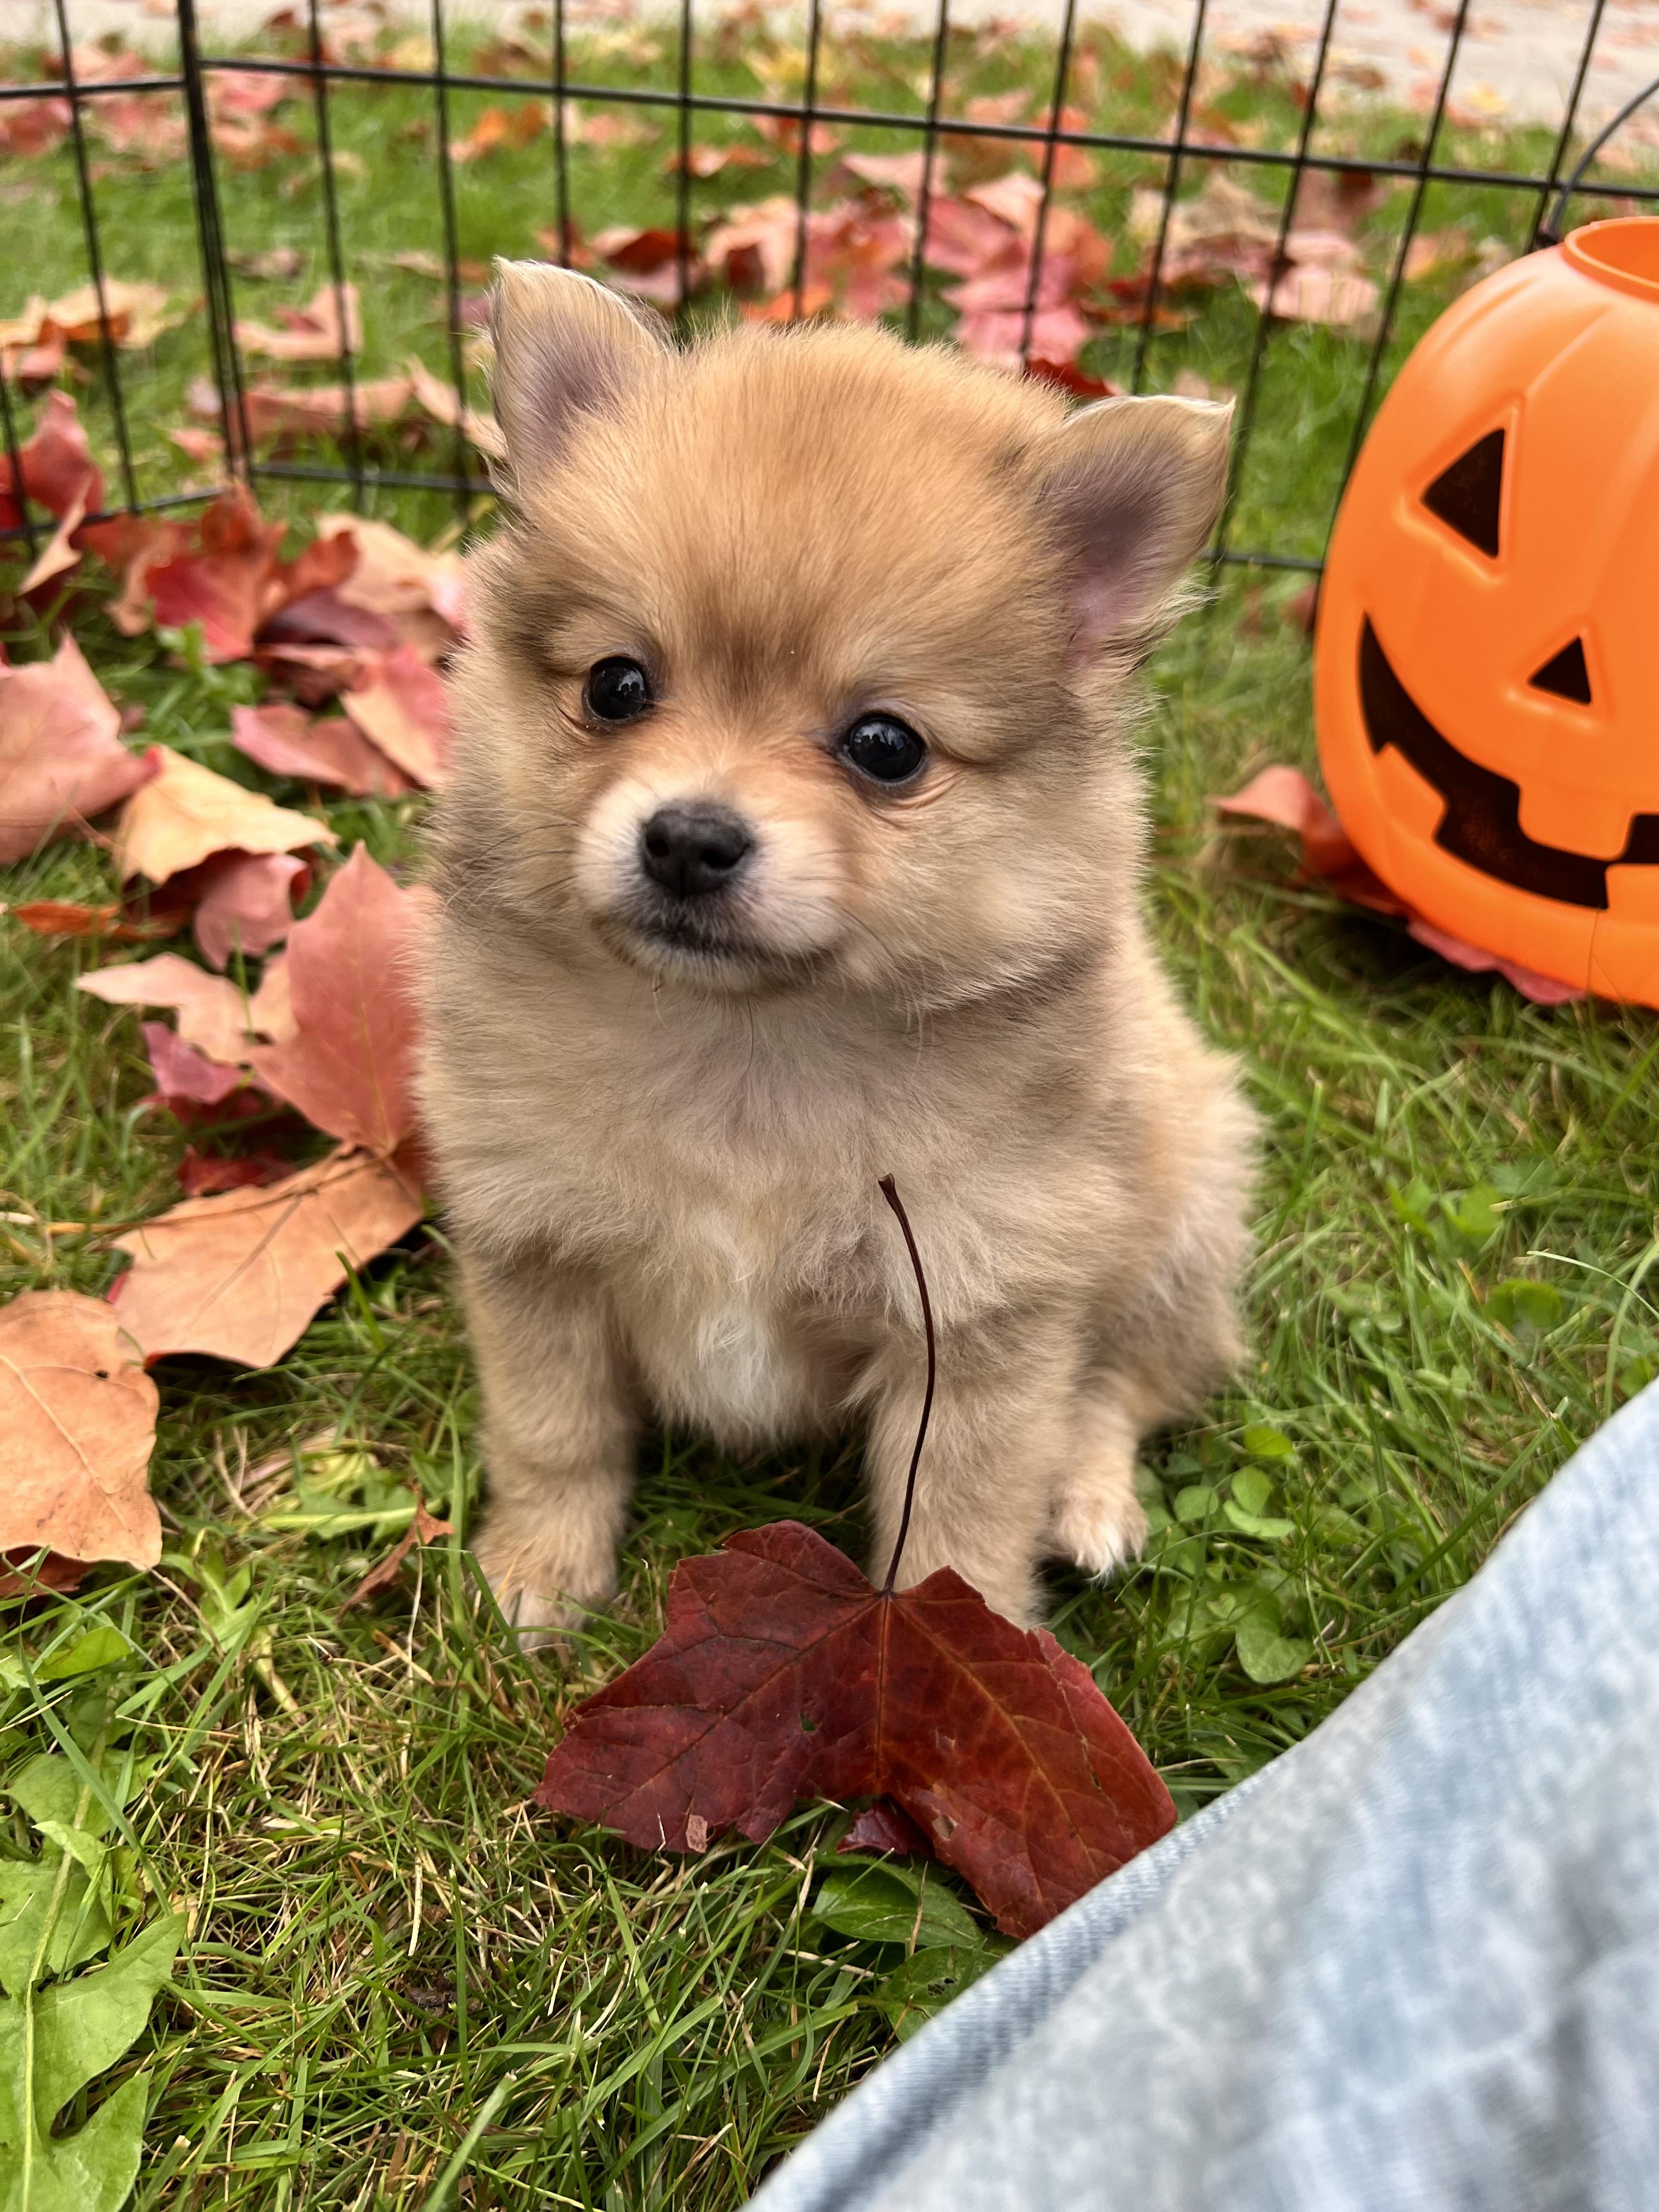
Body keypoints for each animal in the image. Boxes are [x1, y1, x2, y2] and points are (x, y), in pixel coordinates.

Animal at [419, 262, 1256, 1634]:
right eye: (615, 686)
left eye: (886, 747)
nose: (690, 839)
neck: (750, 1051)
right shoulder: (535, 1249)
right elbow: (557, 1432)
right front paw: (538, 1574)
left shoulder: (980, 1309)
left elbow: (962, 1521)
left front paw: (957, 1649)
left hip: (1176, 1220)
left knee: (1122, 1384)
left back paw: (1090, 1502)